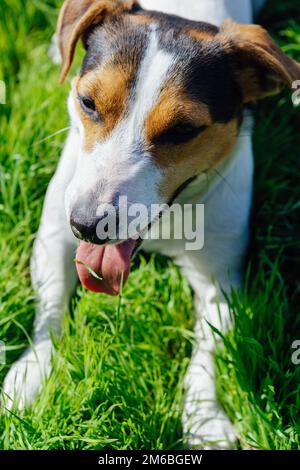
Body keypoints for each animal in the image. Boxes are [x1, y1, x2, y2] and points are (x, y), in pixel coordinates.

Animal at [2, 0, 300, 448]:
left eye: (183, 130)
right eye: (87, 102)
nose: (87, 225)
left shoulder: (222, 279)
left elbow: (209, 349)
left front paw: (205, 419)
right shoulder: (54, 233)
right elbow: (50, 311)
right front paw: (29, 376)